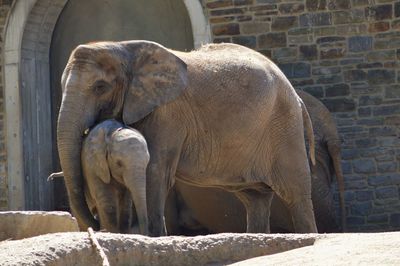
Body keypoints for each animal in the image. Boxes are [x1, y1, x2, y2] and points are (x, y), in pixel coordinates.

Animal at [57, 40, 318, 236]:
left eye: (100, 87)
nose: (96, 224)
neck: (123, 48)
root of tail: (297, 97)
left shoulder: (168, 114)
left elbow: (155, 171)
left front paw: (155, 238)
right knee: (256, 198)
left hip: (285, 128)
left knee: (296, 194)